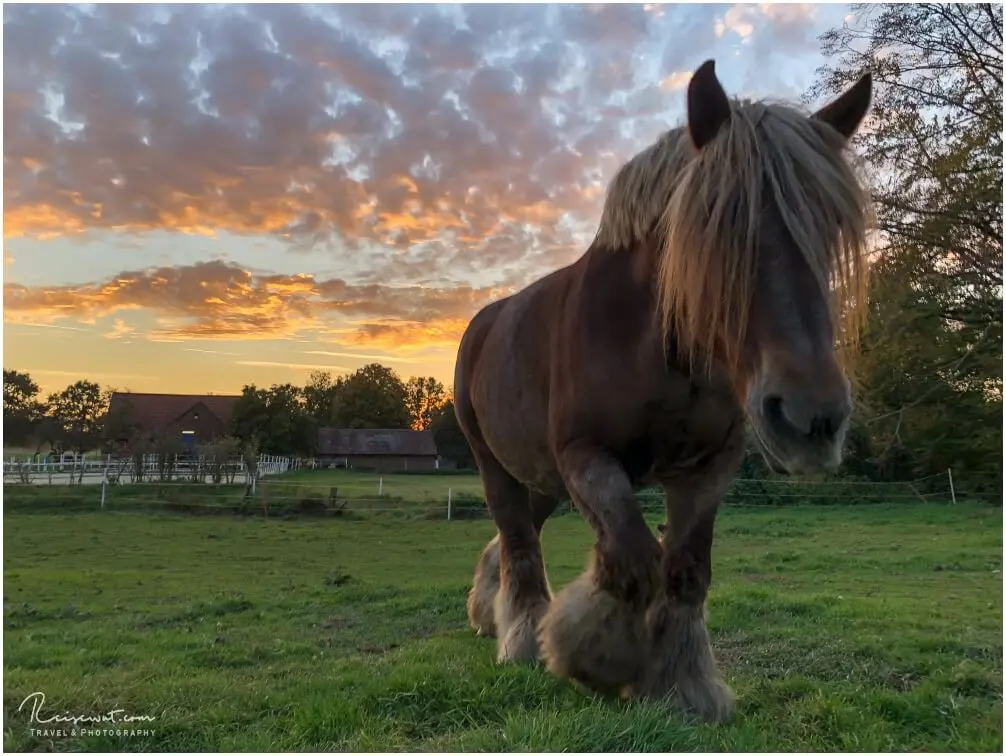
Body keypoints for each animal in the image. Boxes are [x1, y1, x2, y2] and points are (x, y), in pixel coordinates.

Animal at [454, 59, 873, 720]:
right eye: (716, 225)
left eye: (830, 227)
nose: (812, 418)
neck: (660, 347)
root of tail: (483, 324)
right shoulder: (586, 455)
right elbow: (632, 557)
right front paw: (595, 657)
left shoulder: (709, 466)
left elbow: (684, 568)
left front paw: (684, 684)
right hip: (496, 464)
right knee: (518, 540)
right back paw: (520, 636)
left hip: (538, 475)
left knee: (514, 535)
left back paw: (489, 613)